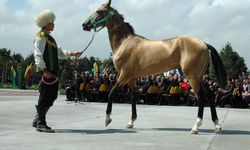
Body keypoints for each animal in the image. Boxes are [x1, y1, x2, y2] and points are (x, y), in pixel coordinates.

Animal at [81, 0, 227, 134]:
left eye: (99, 11)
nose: (84, 24)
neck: (125, 43)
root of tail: (204, 43)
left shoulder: (124, 75)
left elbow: (111, 92)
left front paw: (108, 119)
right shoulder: (131, 78)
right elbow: (133, 97)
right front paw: (131, 122)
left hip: (192, 77)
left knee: (201, 97)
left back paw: (195, 127)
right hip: (199, 76)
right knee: (210, 95)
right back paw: (217, 125)